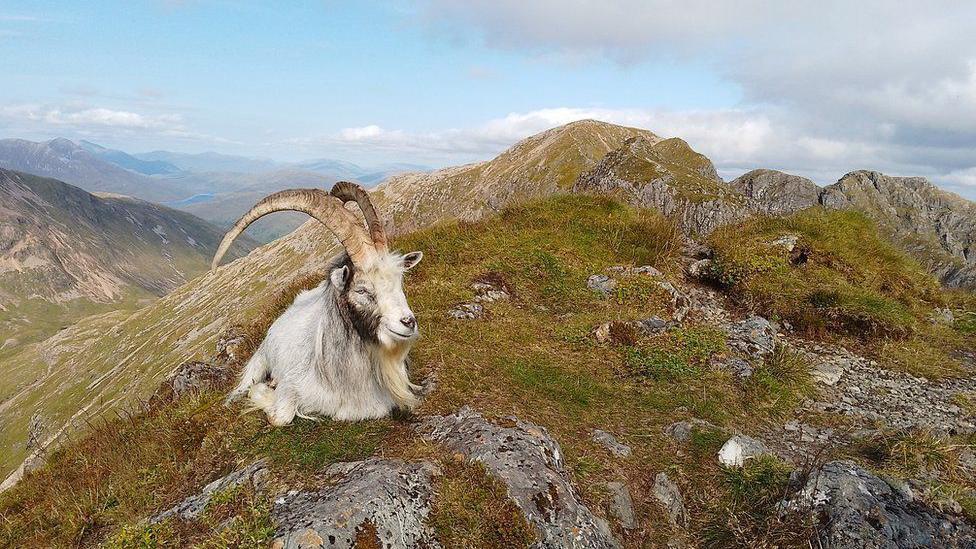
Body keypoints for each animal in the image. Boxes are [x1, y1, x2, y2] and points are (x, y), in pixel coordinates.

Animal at [214, 183, 424, 424]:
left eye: (399, 280)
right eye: (361, 290)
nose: (408, 322)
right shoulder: (292, 385)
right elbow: (281, 416)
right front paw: (264, 392)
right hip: (261, 355)